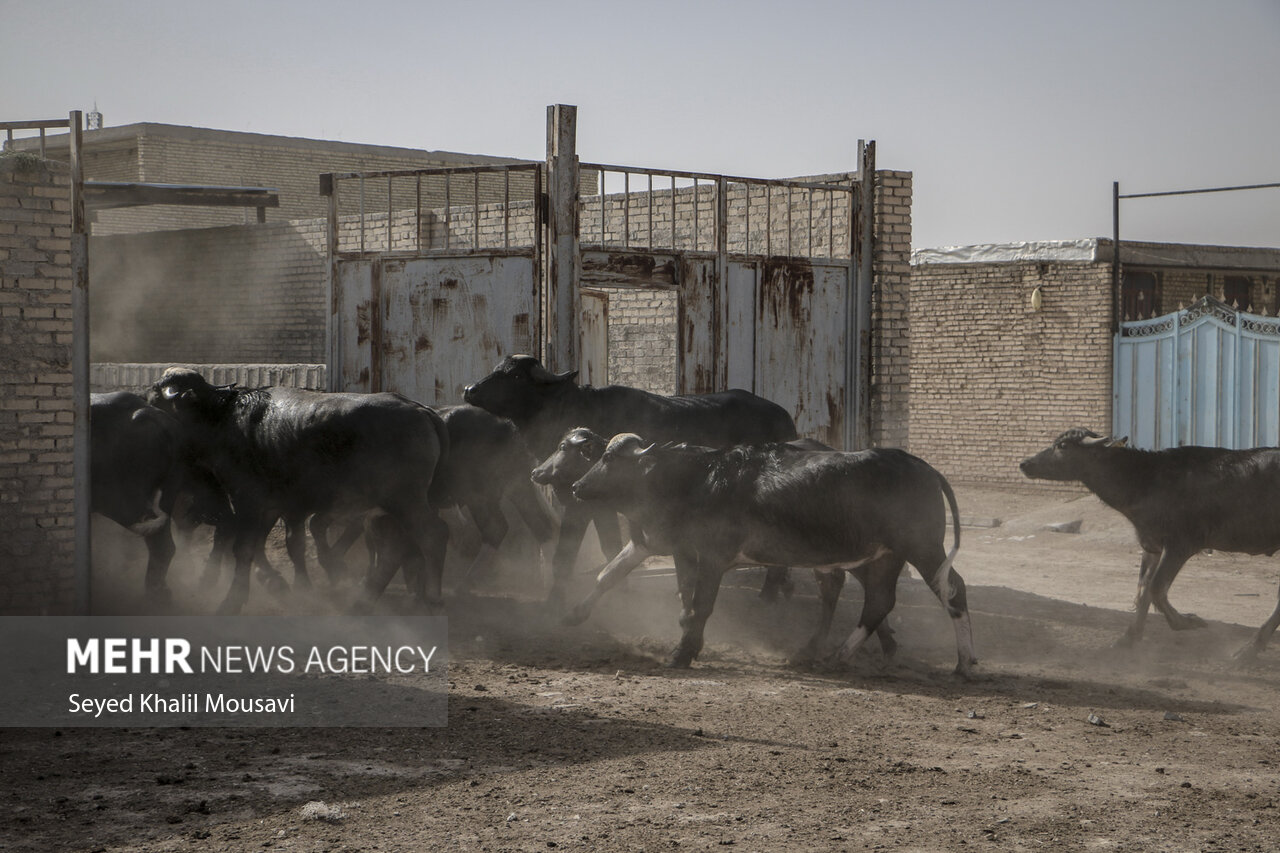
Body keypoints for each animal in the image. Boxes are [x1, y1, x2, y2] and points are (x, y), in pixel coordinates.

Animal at [147, 366, 450, 612]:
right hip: (387, 508)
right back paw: (363, 601)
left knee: (431, 535)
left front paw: (232, 600)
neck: (223, 418)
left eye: (156, 398)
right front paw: (282, 584)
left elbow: (244, 548)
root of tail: (420, 410)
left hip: (405, 500)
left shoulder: (248, 500)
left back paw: (432, 597)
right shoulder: (274, 507)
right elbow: (273, 545)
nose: (147, 407)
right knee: (394, 548)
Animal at [460, 356, 798, 601]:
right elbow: (596, 547)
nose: (469, 390)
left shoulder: (587, 505)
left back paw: (769, 594)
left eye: (516, 376)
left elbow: (581, 549)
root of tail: (785, 419)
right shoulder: (591, 503)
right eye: (496, 369)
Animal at [570, 435, 967, 676]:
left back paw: (963, 662)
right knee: (877, 600)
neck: (699, 480)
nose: (576, 485)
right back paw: (837, 654)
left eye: (609, 458)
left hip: (923, 548)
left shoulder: (712, 558)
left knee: (953, 589)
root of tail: (923, 468)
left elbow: (701, 606)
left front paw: (683, 652)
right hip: (885, 556)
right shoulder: (683, 552)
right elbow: (676, 597)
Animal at [1024, 425, 1280, 655]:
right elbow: (1143, 590)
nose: (1025, 464)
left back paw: (1249, 649)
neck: (1147, 481)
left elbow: (1157, 588)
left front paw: (1187, 622)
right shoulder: (1151, 545)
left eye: (1063, 446)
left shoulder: (1181, 545)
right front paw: (1129, 638)